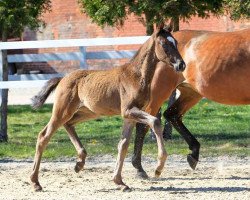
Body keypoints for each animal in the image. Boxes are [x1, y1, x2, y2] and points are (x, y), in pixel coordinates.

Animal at [132, 28, 249, 178]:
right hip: (159, 92)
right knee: (143, 124)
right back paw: (139, 169)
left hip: (191, 93)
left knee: (172, 115)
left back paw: (193, 154)